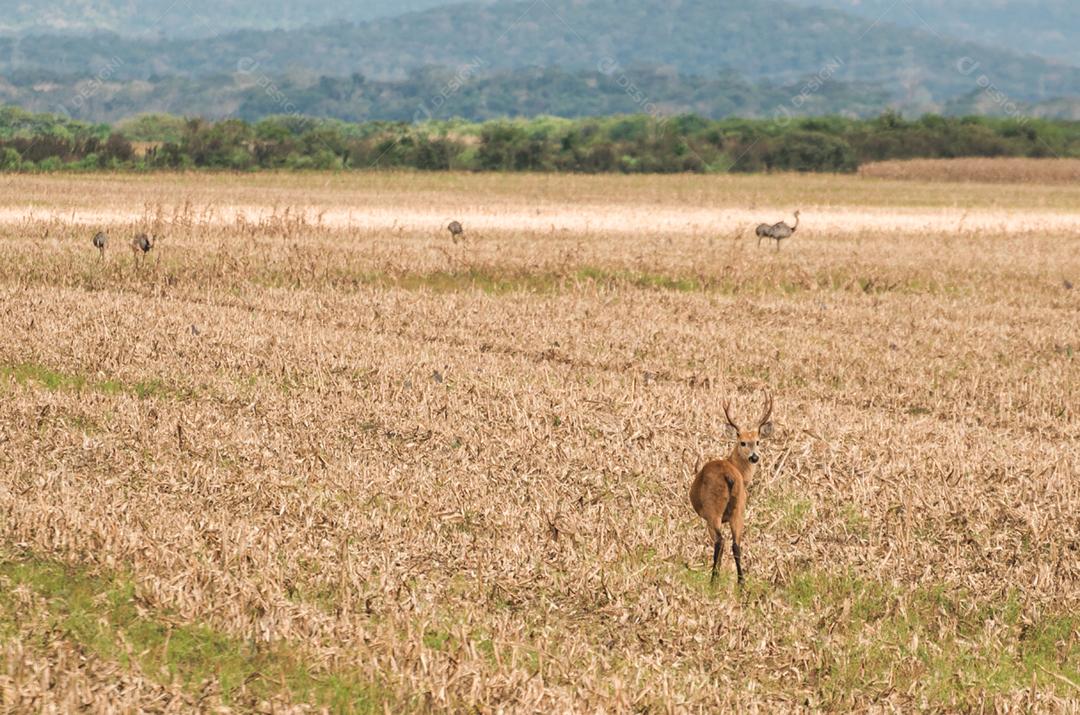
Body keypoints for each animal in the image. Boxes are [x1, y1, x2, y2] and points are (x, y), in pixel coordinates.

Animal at [686, 393, 773, 587]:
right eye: (743, 443)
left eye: (757, 442)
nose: (754, 457)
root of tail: (729, 475)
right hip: (739, 509)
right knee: (736, 545)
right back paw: (741, 584)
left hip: (713, 509)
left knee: (721, 541)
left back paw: (713, 580)